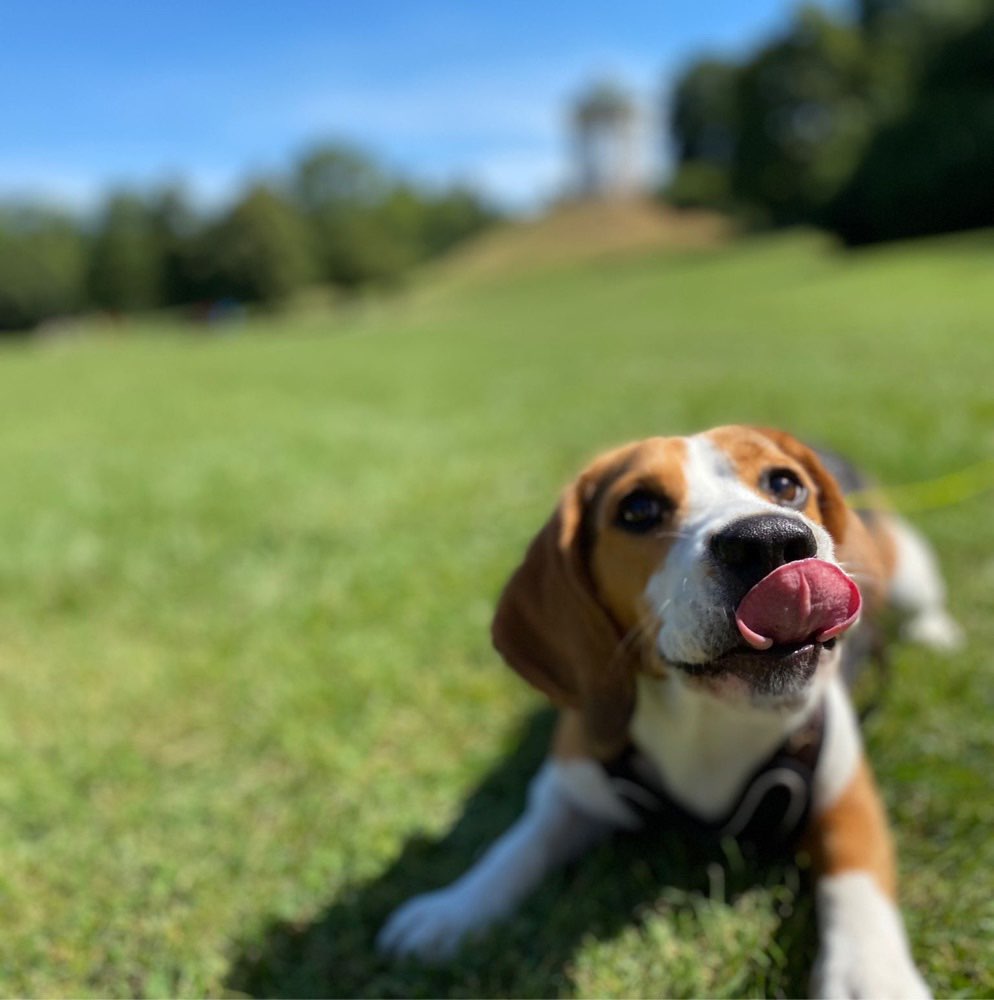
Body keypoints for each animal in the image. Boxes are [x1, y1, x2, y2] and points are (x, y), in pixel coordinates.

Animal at [376, 426, 956, 996]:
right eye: (638, 509)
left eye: (785, 484)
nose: (770, 538)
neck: (709, 715)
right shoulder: (570, 781)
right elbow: (517, 847)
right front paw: (453, 910)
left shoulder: (845, 793)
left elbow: (855, 883)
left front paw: (871, 977)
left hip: (907, 571)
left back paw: (936, 634)